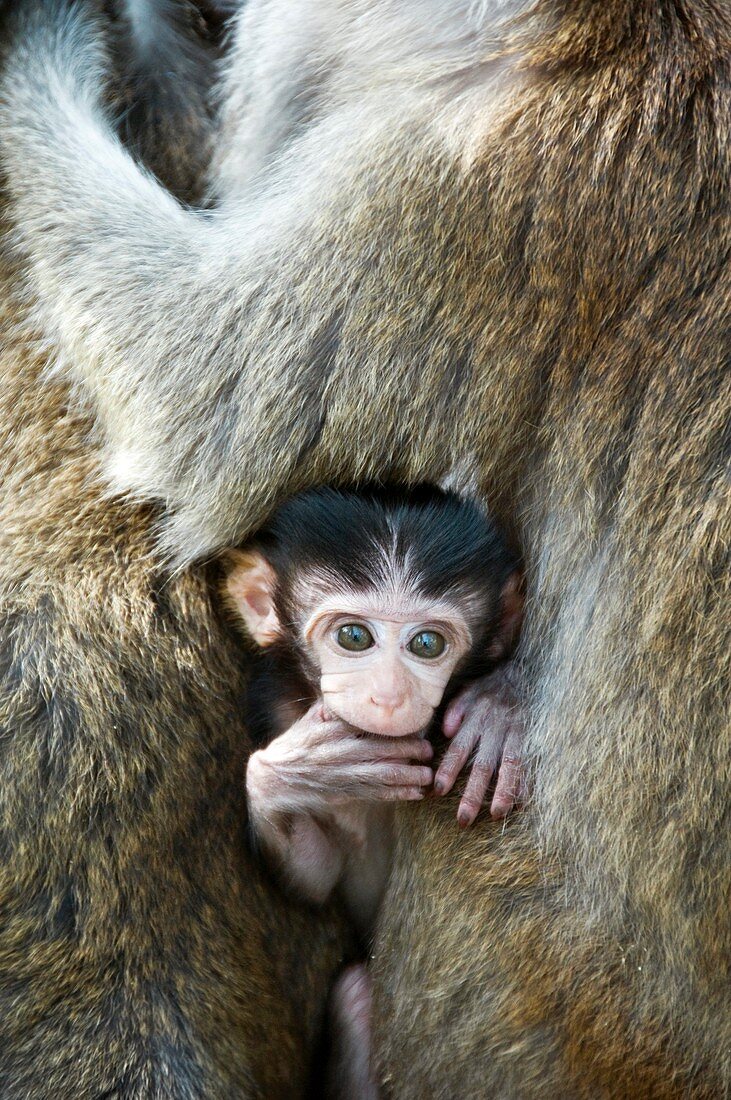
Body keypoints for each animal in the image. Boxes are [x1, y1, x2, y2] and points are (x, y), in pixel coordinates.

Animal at [225, 490, 521, 1100]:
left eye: (427, 643)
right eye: (354, 637)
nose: (388, 696)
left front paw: (497, 711)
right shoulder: (277, 709)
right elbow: (313, 882)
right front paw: (297, 771)